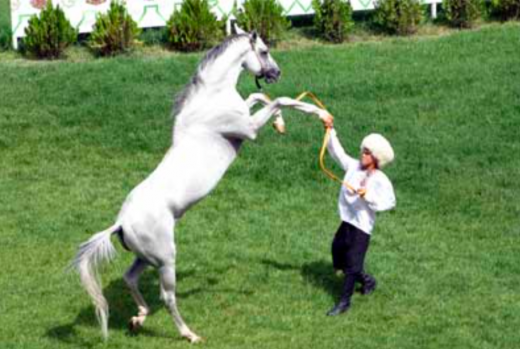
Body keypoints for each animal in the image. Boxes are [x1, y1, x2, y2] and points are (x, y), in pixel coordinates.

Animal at [73, 27, 332, 342]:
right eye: (264, 50)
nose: (276, 72)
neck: (210, 100)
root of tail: (121, 223)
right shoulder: (249, 129)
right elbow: (279, 99)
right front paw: (319, 114)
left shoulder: (246, 113)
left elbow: (258, 95)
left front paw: (280, 124)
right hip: (165, 260)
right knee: (167, 297)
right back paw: (189, 334)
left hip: (146, 258)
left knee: (129, 278)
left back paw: (139, 318)